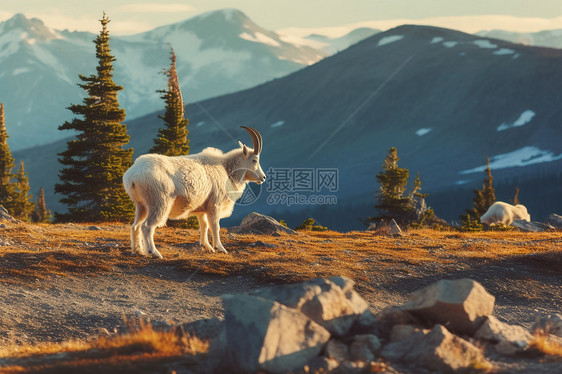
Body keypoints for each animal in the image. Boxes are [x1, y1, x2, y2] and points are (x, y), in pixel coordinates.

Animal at [122, 127, 264, 258]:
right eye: (254, 160)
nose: (263, 178)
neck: (226, 169)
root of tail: (132, 177)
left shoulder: (203, 208)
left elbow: (204, 225)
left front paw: (207, 247)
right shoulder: (215, 204)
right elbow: (215, 226)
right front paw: (220, 248)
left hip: (141, 205)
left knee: (135, 225)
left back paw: (138, 251)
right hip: (159, 203)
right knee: (147, 226)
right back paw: (154, 253)